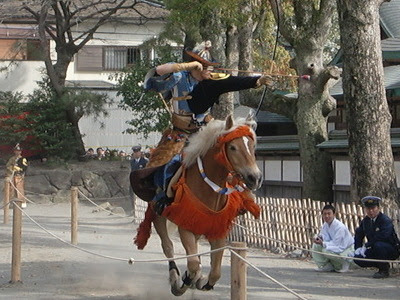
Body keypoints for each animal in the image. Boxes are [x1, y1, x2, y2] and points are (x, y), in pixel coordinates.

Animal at [136, 115, 264, 296]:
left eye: (252, 146)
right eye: (232, 147)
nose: (255, 178)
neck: (208, 189)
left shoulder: (217, 229)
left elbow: (215, 272)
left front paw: (202, 281)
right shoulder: (186, 226)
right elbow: (193, 264)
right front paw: (186, 280)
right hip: (157, 215)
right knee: (168, 246)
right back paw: (175, 278)